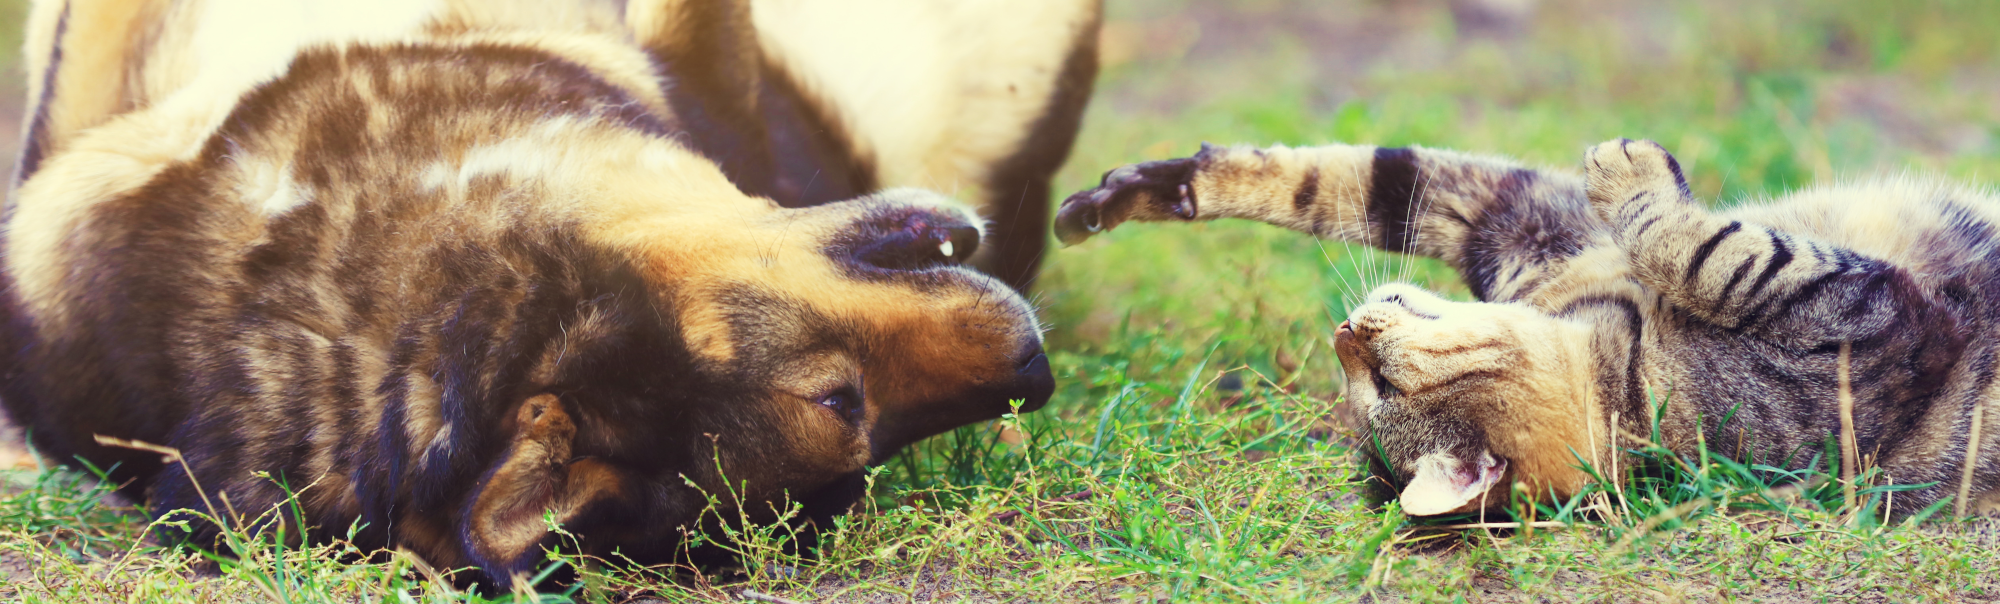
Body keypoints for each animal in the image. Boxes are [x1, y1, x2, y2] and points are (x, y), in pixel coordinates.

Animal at [1056, 138, 2000, 520]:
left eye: (1376, 382)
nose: (1344, 330)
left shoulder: (1520, 225)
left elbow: (1351, 178)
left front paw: (1139, 190)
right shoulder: (1874, 329)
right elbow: (1717, 252)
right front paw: (1633, 173)